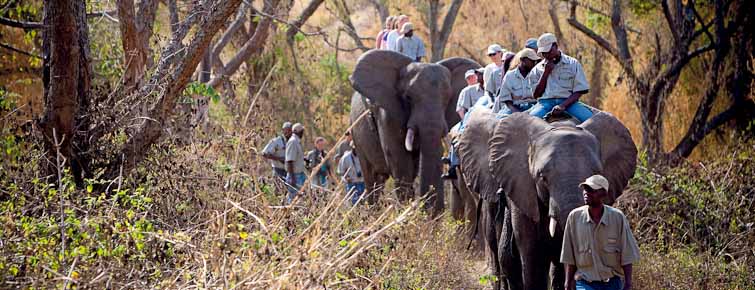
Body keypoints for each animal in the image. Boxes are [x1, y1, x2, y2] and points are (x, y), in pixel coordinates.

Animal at [346, 49, 478, 213]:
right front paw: (407, 211)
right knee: (372, 178)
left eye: (448, 98)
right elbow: (400, 160)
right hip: (356, 130)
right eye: (408, 97)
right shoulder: (388, 114)